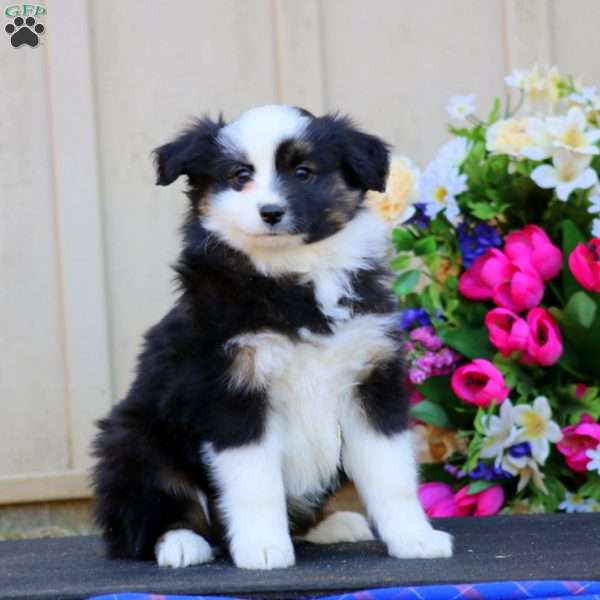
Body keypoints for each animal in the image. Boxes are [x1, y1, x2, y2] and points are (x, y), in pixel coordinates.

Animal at [91, 105, 452, 568]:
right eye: (240, 175)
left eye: (303, 172)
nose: (270, 211)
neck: (294, 274)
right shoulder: (233, 393)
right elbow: (255, 485)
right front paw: (263, 548)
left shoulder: (372, 382)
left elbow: (392, 475)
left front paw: (415, 539)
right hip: (133, 440)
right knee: (149, 514)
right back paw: (182, 543)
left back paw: (331, 525)